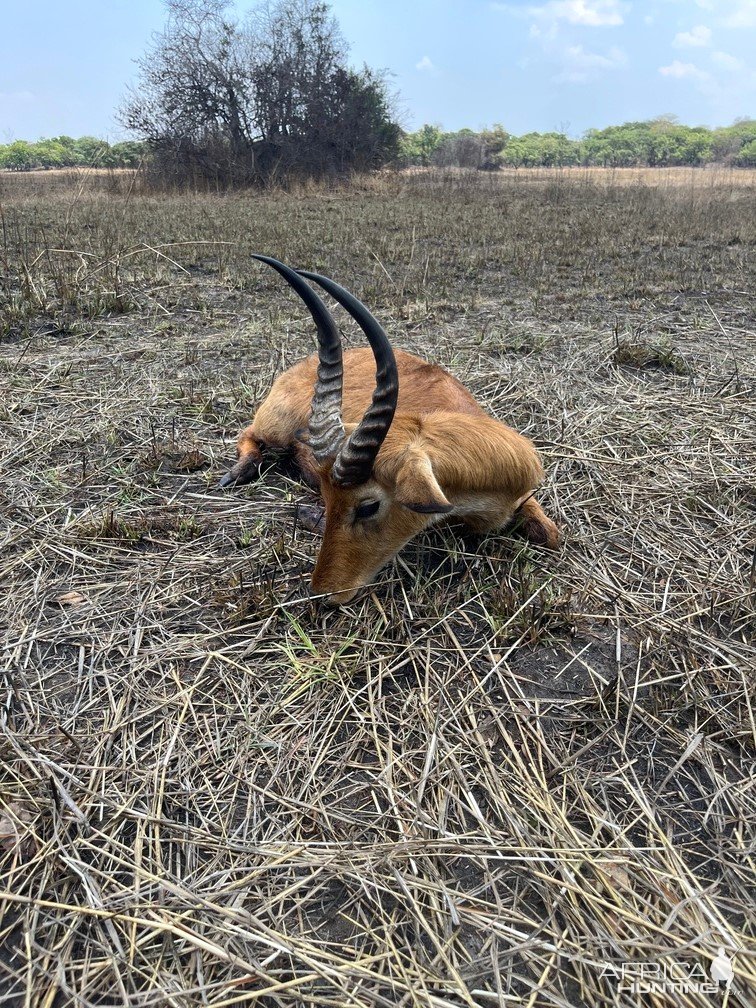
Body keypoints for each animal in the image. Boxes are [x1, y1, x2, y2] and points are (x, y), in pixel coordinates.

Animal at [218, 256, 556, 600]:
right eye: (328, 497)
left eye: (368, 506)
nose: (322, 592)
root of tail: (301, 365)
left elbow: (552, 536)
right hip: (275, 427)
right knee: (248, 433)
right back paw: (236, 474)